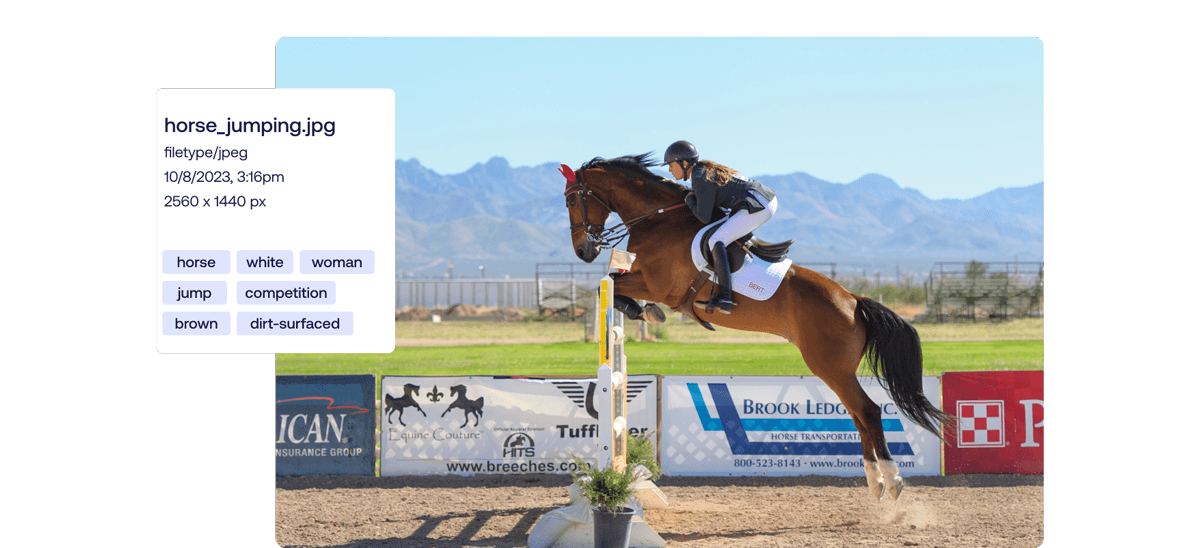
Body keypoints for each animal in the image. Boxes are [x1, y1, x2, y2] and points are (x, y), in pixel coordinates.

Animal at [561, 152, 953, 501]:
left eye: (572, 199)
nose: (583, 251)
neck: (656, 220)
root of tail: (854, 301)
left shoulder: (659, 285)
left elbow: (612, 284)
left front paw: (643, 310)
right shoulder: (646, 280)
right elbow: (614, 284)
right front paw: (642, 311)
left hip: (829, 366)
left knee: (868, 412)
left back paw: (893, 479)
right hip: (836, 369)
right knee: (858, 415)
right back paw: (875, 483)